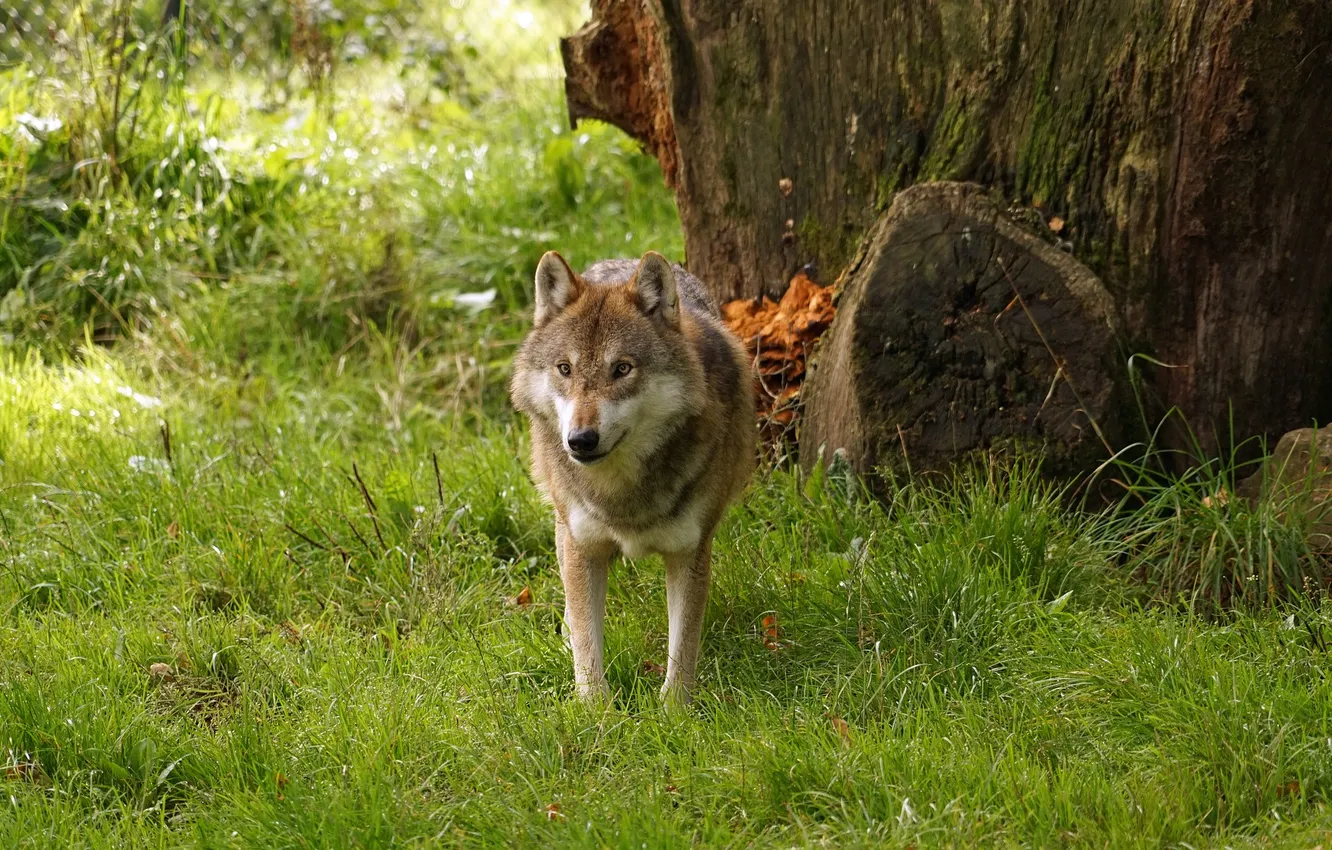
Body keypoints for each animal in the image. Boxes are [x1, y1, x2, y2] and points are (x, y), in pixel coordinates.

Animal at [510, 250, 756, 703]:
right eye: (565, 368)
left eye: (622, 369)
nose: (580, 440)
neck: (620, 493)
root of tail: (615, 260)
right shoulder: (583, 545)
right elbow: (588, 644)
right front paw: (595, 709)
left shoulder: (690, 551)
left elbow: (683, 648)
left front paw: (674, 711)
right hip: (563, 524)